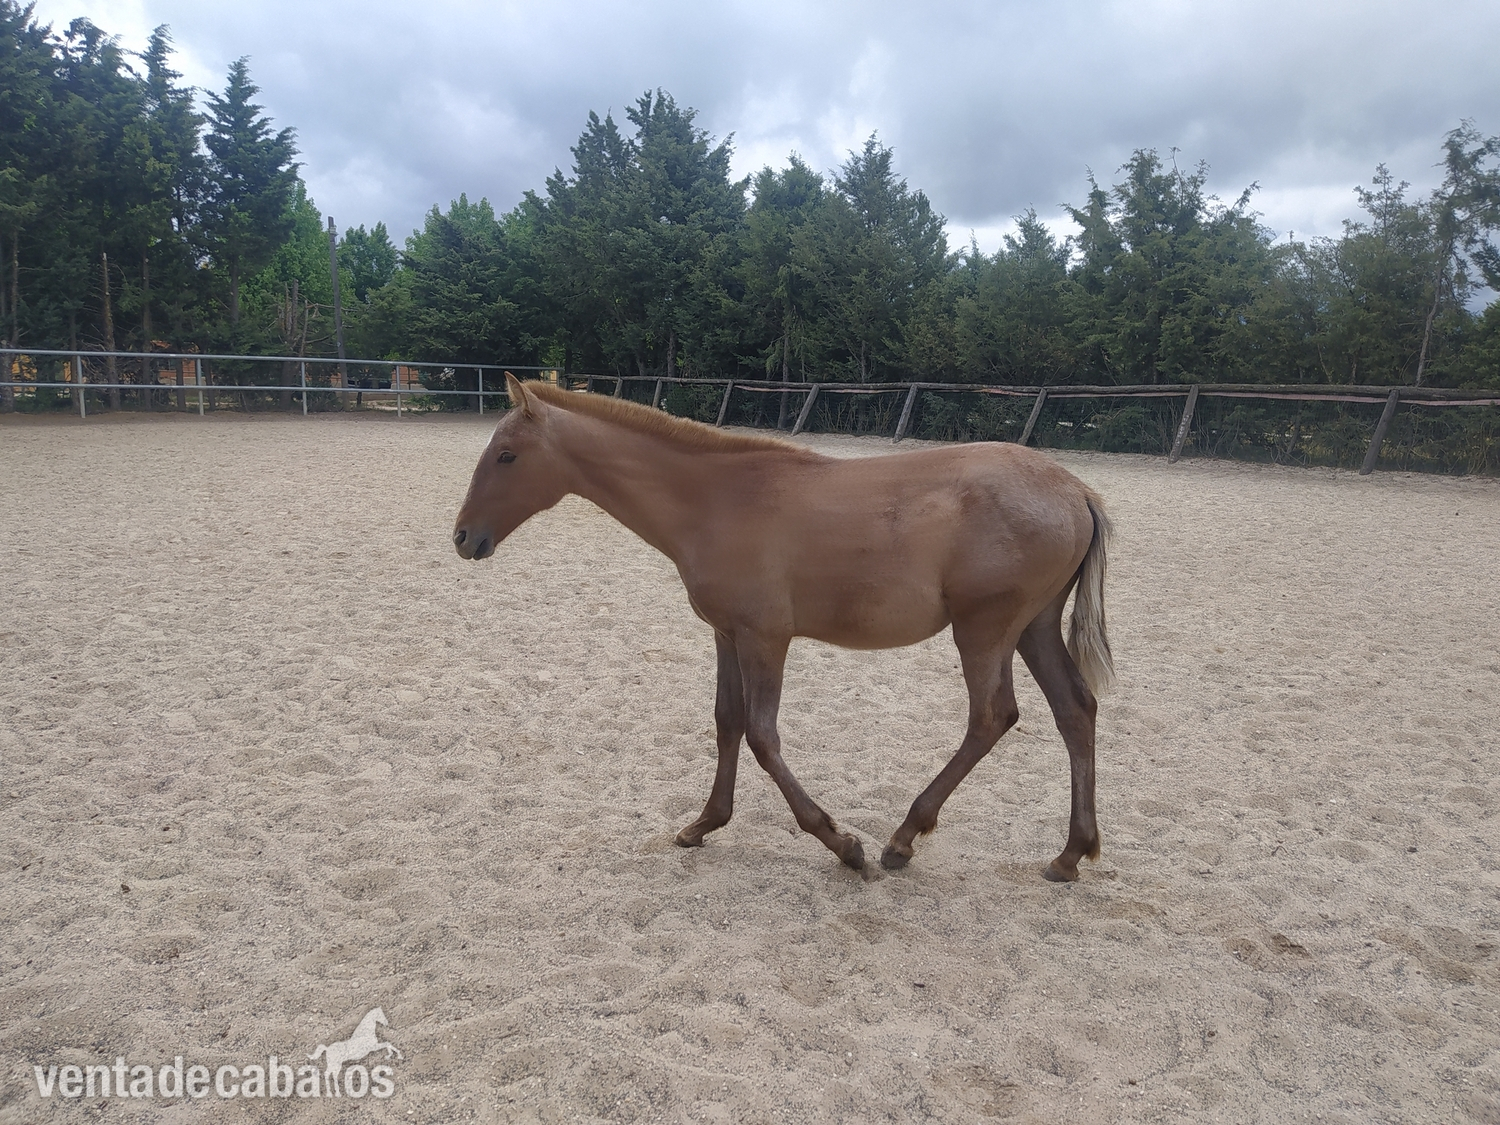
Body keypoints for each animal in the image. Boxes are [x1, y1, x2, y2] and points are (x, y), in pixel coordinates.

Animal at [453, 374, 1114, 880]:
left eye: (507, 455)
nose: (463, 537)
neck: (716, 500)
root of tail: (1076, 489)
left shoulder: (766, 638)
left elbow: (762, 736)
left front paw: (841, 844)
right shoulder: (727, 633)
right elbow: (727, 722)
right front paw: (702, 825)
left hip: (984, 629)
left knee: (992, 716)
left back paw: (902, 838)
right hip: (1032, 628)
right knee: (1075, 710)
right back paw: (1070, 854)